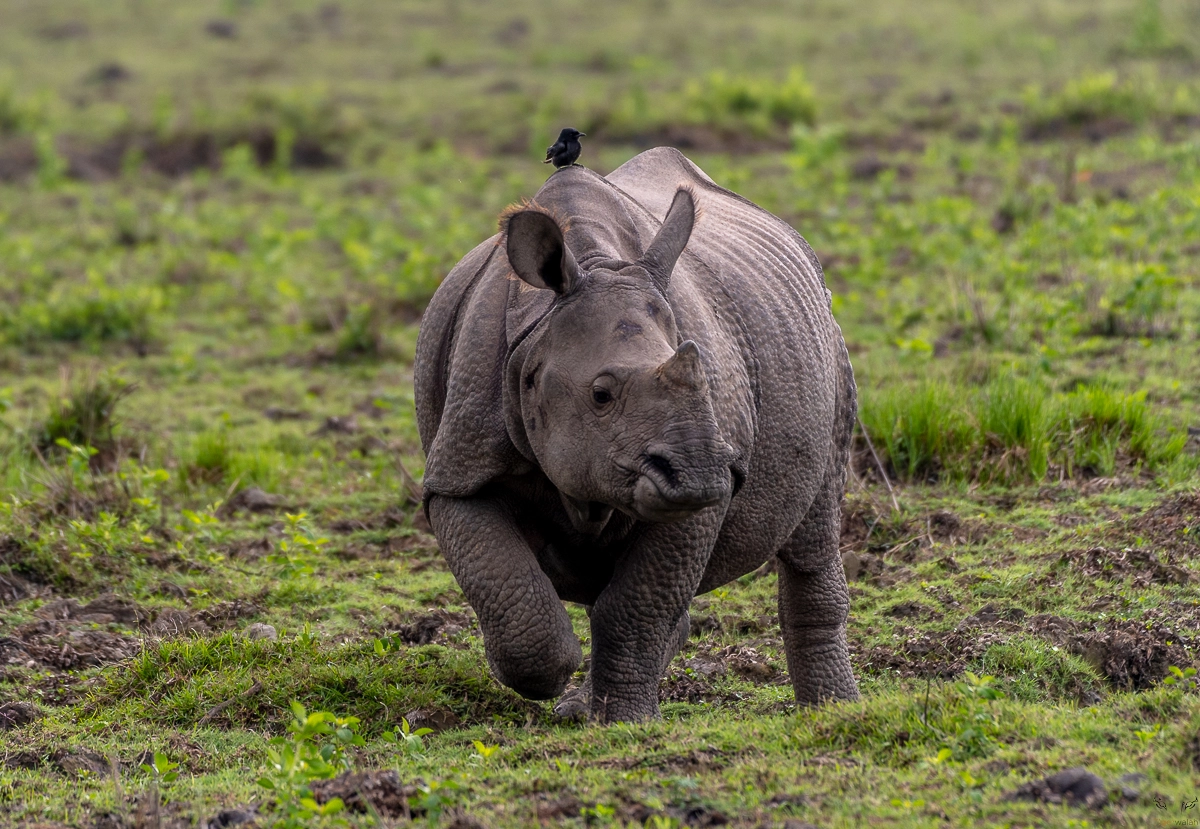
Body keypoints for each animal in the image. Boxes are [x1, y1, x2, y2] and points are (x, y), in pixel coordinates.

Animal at [414, 147, 858, 722]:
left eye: (706, 382)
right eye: (601, 395)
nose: (698, 477)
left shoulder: (703, 493)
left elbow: (636, 607)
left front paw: (626, 723)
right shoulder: (460, 468)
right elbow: (507, 585)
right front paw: (547, 678)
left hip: (827, 344)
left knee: (814, 526)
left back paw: (832, 712)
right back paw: (578, 707)